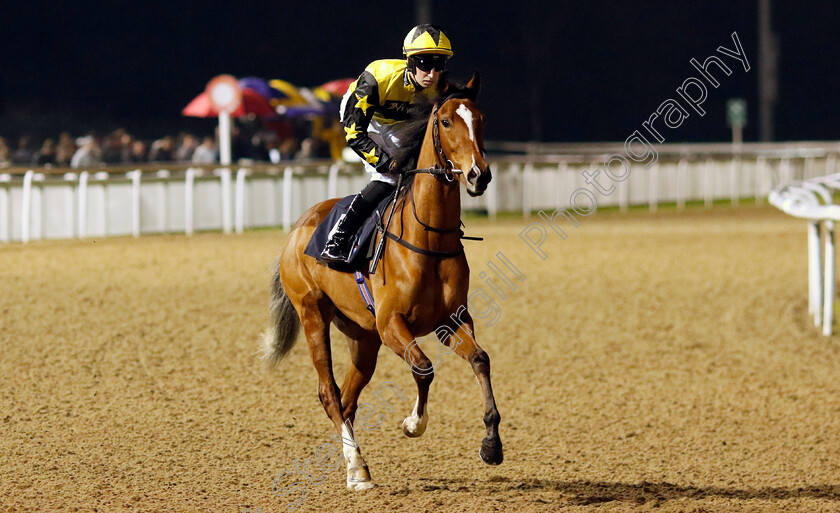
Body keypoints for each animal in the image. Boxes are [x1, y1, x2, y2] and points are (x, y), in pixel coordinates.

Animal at [262, 74, 502, 490]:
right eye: (445, 122)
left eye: (481, 119)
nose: (479, 174)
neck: (429, 239)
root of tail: (297, 229)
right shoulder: (391, 323)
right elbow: (423, 367)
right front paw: (413, 424)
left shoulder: (452, 320)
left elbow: (480, 359)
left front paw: (491, 444)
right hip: (313, 314)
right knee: (329, 392)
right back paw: (357, 470)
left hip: (363, 338)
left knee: (347, 400)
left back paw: (354, 464)